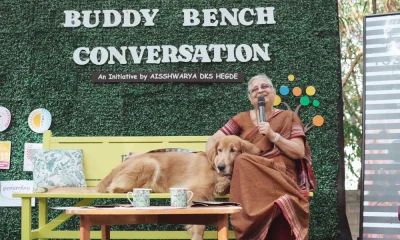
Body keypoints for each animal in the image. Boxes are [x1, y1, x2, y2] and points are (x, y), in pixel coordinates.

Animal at [96, 135, 260, 240]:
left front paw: (222, 185)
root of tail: (122, 164)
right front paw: (197, 237)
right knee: (114, 189)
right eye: (219, 150)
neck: (214, 169)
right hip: (150, 163)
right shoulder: (195, 192)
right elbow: (200, 225)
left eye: (233, 150)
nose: (221, 166)